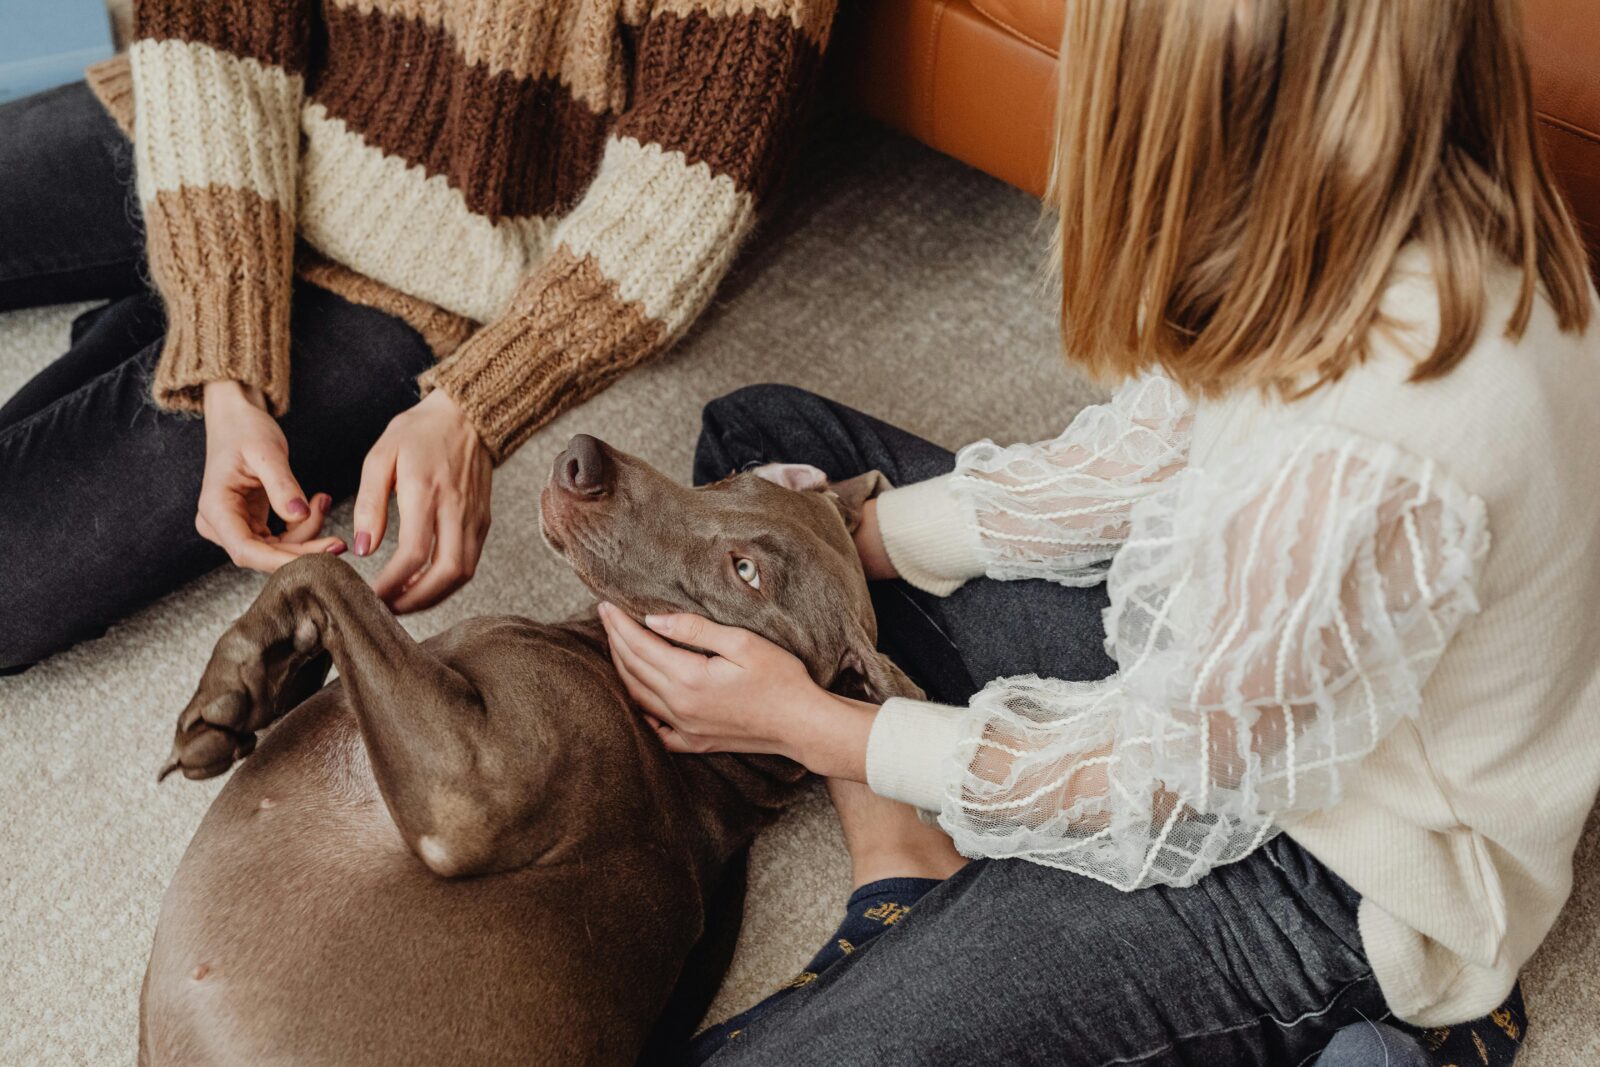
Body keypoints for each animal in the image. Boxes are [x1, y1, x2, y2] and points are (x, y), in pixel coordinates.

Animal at [144, 435, 921, 1067]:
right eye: (727, 478)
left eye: (746, 572)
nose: (584, 458)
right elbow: (310, 579)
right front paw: (246, 681)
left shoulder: (465, 800)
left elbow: (328, 572)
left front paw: (240, 680)